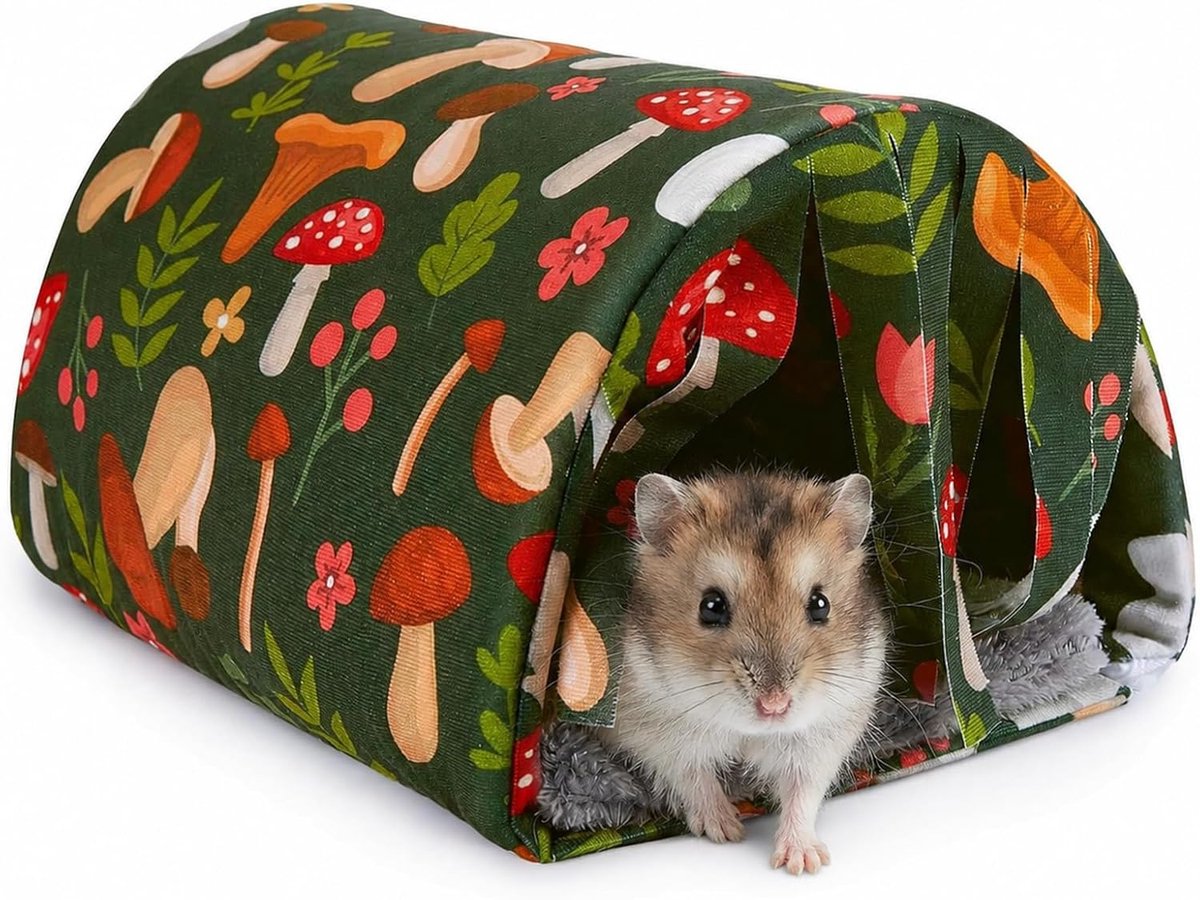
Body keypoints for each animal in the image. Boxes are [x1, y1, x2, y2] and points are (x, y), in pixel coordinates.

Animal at [602, 470, 889, 876]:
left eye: (820, 604)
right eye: (711, 606)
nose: (774, 705)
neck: (749, 732)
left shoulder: (826, 735)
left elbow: (803, 791)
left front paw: (803, 863)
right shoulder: (651, 732)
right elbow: (693, 775)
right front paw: (727, 830)